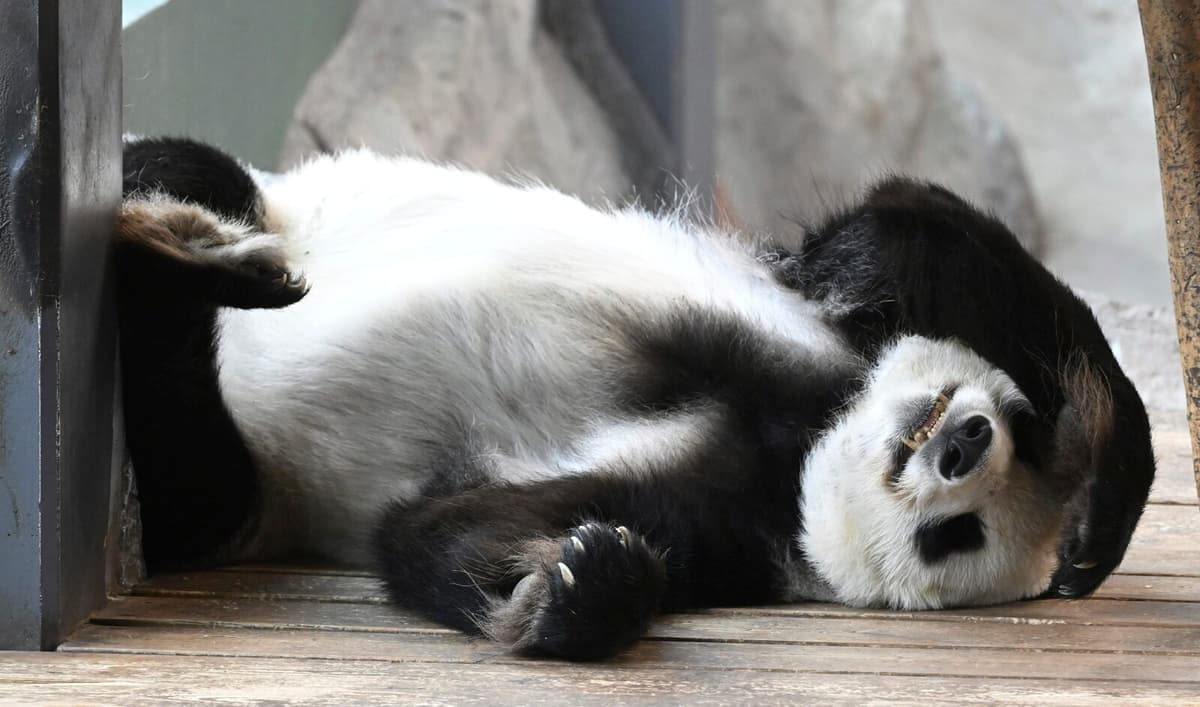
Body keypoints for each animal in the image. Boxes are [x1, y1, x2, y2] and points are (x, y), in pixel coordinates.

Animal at [116, 136, 1155, 661]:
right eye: (1019, 430)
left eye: (956, 534)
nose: (963, 445)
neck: (804, 440)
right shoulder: (807, 342)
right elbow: (905, 228)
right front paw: (1099, 514)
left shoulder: (724, 518)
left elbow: (440, 529)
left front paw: (582, 585)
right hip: (275, 201)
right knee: (197, 168)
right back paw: (201, 233)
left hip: (235, 491)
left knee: (183, 456)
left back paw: (180, 263)